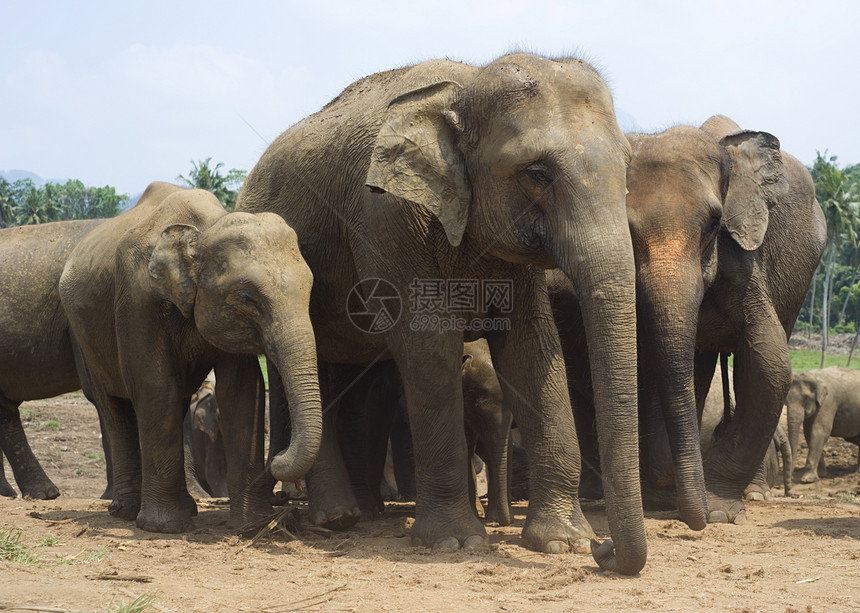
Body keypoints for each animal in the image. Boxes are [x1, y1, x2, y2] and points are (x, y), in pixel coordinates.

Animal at [58, 182, 322, 532]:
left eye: (310, 289)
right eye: (247, 297)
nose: (279, 462)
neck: (204, 228)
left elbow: (241, 389)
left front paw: (251, 525)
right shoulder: (137, 298)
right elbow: (155, 385)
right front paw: (163, 527)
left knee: (178, 401)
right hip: (82, 337)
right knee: (114, 408)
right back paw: (127, 512)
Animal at [237, 52, 644, 572]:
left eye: (628, 168)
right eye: (537, 173)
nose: (604, 549)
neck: (465, 85)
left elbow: (530, 349)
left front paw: (562, 542)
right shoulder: (385, 218)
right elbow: (429, 350)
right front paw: (455, 543)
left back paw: (361, 512)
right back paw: (337, 519)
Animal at [552, 117, 828, 528]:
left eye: (714, 224)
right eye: (627, 231)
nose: (699, 521)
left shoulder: (743, 257)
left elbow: (770, 361)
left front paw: (719, 511)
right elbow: (648, 362)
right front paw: (671, 499)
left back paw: (749, 495)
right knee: (694, 367)